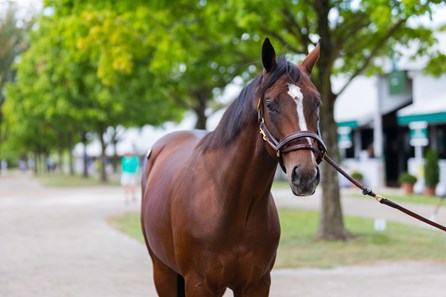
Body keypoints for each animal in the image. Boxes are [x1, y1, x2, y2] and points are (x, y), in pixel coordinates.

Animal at [141, 38, 326, 294]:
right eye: (270, 104)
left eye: (316, 102)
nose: (305, 175)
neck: (232, 202)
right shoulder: (199, 284)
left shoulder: (257, 283)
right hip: (162, 271)